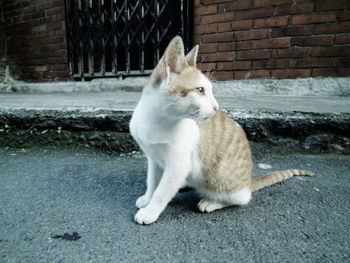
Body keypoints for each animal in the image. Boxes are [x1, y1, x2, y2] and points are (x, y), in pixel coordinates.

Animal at [129, 36, 314, 226]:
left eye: (209, 91)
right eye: (200, 90)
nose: (216, 107)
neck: (158, 119)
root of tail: (248, 182)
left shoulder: (178, 165)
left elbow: (162, 192)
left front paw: (150, 211)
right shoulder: (153, 158)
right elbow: (152, 181)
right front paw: (147, 198)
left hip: (220, 177)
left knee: (241, 198)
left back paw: (211, 202)